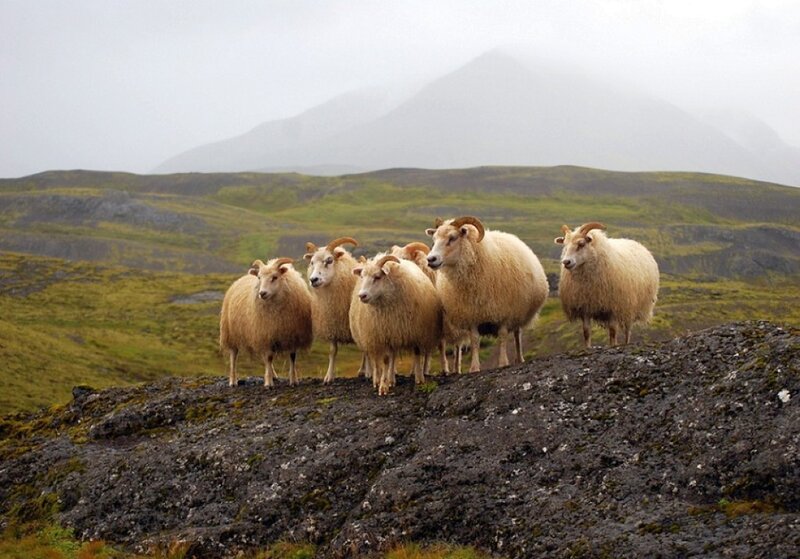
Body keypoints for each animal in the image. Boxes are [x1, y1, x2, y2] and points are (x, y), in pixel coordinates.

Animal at [219, 257, 313, 388]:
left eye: (275, 277)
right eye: (259, 277)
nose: (262, 293)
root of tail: (240, 279)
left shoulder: (291, 335)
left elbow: (292, 357)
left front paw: (293, 380)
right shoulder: (266, 334)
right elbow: (268, 358)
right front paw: (268, 383)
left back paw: (274, 375)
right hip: (231, 333)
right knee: (233, 356)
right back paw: (233, 381)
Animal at [303, 236, 363, 384]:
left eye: (329, 260)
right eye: (312, 262)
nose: (313, 280)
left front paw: (368, 371)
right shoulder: (332, 324)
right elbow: (332, 351)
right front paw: (329, 376)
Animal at [349, 253, 443, 395]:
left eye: (377, 277)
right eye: (362, 277)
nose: (362, 296)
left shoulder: (414, 330)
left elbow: (416, 353)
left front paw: (419, 378)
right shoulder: (383, 335)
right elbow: (385, 359)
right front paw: (383, 386)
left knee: (392, 356)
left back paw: (391, 379)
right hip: (373, 335)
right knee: (376, 360)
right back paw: (378, 380)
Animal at [426, 216, 548, 373]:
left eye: (452, 238)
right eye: (434, 239)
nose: (431, 259)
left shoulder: (505, 313)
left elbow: (503, 337)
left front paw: (503, 362)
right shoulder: (471, 316)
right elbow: (475, 340)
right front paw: (474, 367)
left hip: (518, 311)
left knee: (517, 334)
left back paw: (519, 358)